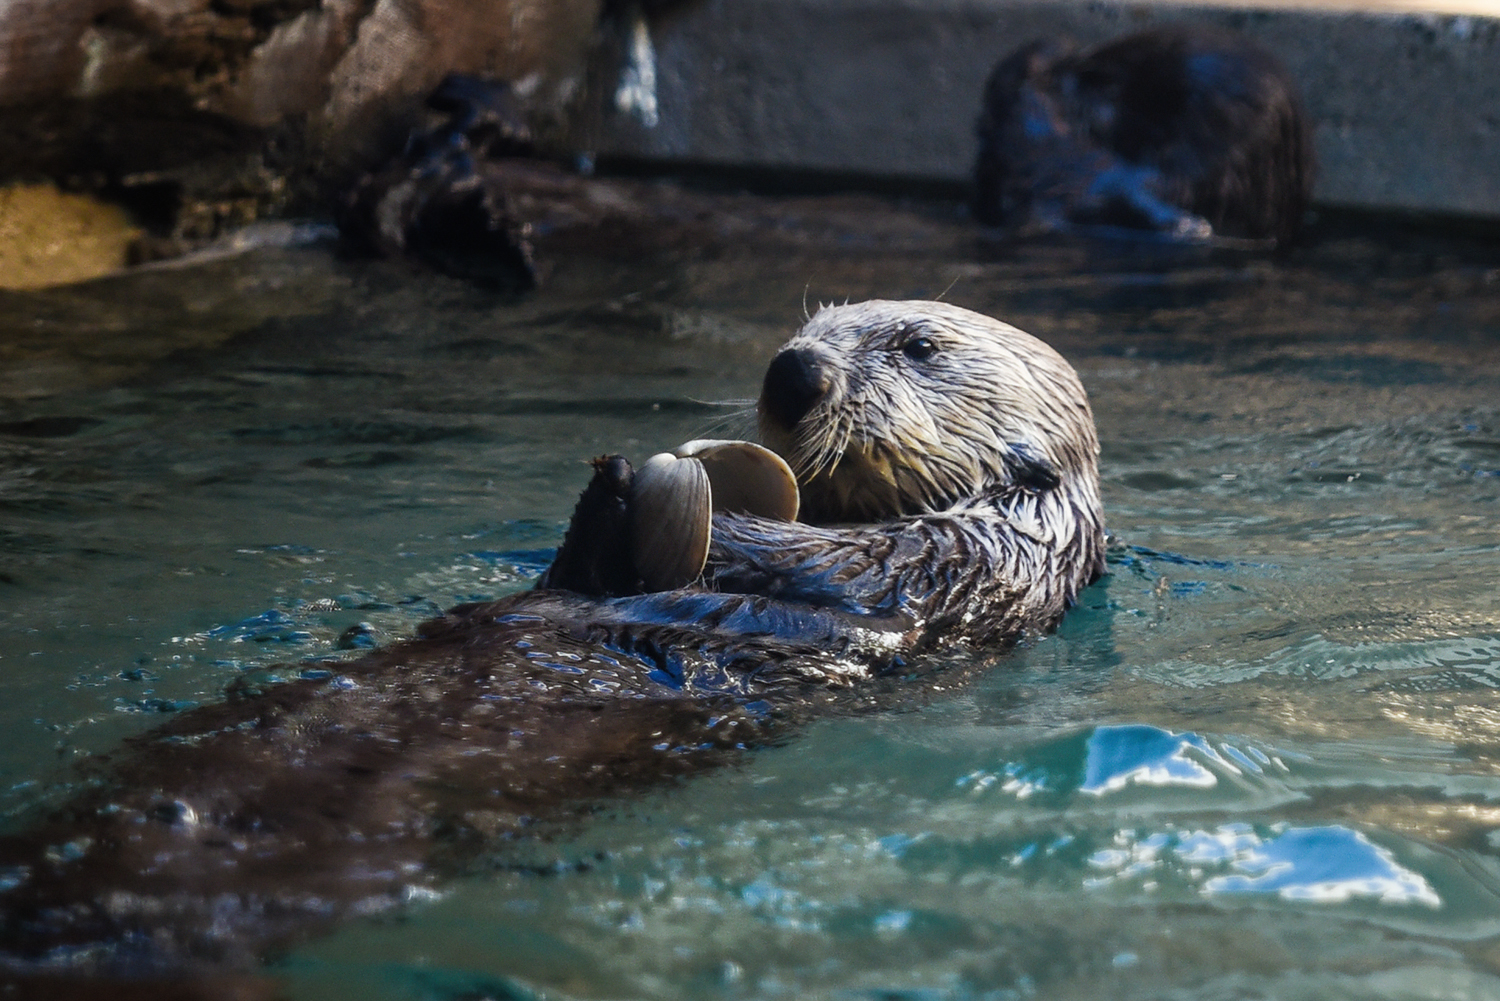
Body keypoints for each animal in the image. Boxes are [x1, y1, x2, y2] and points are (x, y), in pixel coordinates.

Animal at [0, 301, 1105, 984]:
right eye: (805, 329)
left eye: (918, 346)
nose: (793, 370)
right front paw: (614, 487)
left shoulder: (945, 564)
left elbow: (819, 560)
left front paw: (671, 500)